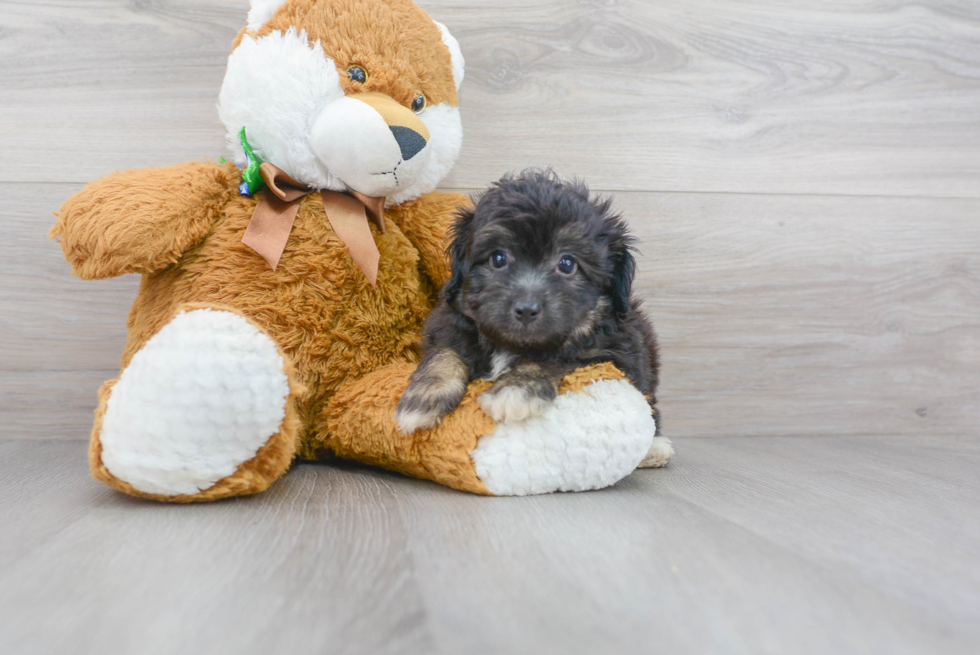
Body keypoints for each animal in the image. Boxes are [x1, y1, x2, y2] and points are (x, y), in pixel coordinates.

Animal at [394, 169, 668, 466]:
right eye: (498, 258)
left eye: (567, 264)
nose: (526, 309)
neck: (510, 345)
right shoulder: (447, 325)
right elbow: (445, 353)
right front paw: (424, 396)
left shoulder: (613, 351)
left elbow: (554, 357)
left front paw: (516, 388)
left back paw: (655, 449)